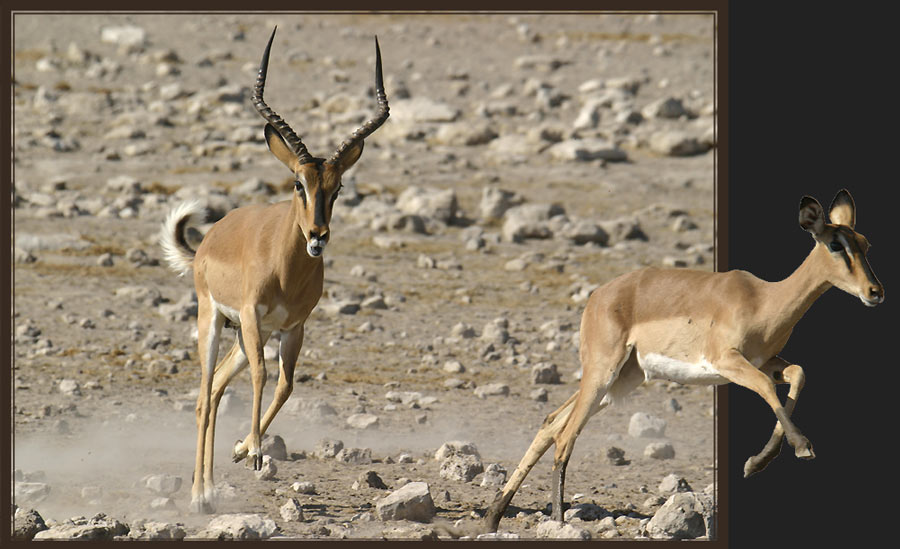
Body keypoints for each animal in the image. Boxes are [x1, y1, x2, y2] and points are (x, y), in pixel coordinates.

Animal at [160, 26, 388, 512]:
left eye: (338, 188)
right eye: (298, 183)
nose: (318, 234)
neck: (286, 270)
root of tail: (207, 240)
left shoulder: (293, 327)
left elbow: (286, 385)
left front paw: (244, 448)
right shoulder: (250, 315)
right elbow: (265, 377)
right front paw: (256, 452)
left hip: (249, 337)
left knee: (219, 386)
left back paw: (211, 485)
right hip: (215, 321)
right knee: (204, 397)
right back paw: (199, 495)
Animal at [486, 189, 884, 532]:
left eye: (864, 243)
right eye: (835, 244)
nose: (875, 292)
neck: (763, 301)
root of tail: (599, 295)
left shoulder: (765, 359)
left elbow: (798, 374)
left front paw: (756, 463)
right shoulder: (727, 361)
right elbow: (765, 387)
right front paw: (801, 448)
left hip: (621, 381)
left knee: (552, 422)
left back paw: (493, 517)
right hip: (603, 373)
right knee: (566, 434)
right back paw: (557, 520)